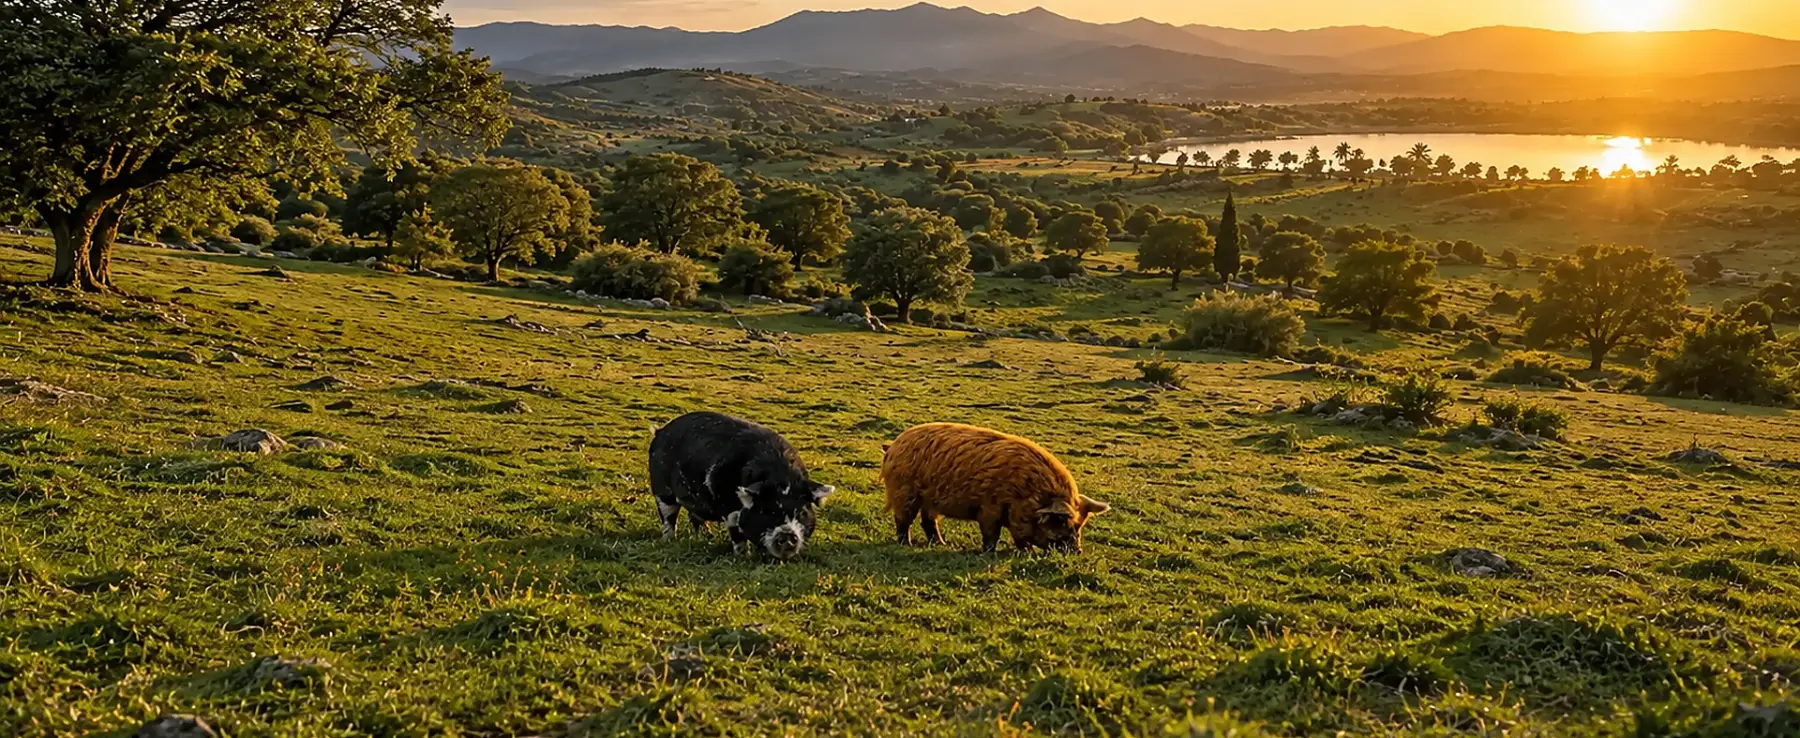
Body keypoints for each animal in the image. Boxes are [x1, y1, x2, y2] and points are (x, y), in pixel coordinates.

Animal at [649, 411, 834, 559]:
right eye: (767, 511)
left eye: (802, 512)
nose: (787, 534)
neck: (780, 476)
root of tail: (660, 431)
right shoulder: (727, 504)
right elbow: (736, 530)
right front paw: (743, 555)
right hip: (661, 490)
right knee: (668, 517)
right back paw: (669, 540)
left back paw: (706, 536)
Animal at [881, 422, 1110, 553]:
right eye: (1061, 521)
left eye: (1079, 525)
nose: (1077, 552)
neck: (1026, 493)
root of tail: (893, 445)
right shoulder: (989, 508)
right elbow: (992, 533)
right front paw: (990, 552)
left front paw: (1027, 554)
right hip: (904, 492)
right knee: (903, 520)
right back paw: (906, 545)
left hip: (930, 500)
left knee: (928, 521)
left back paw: (941, 544)